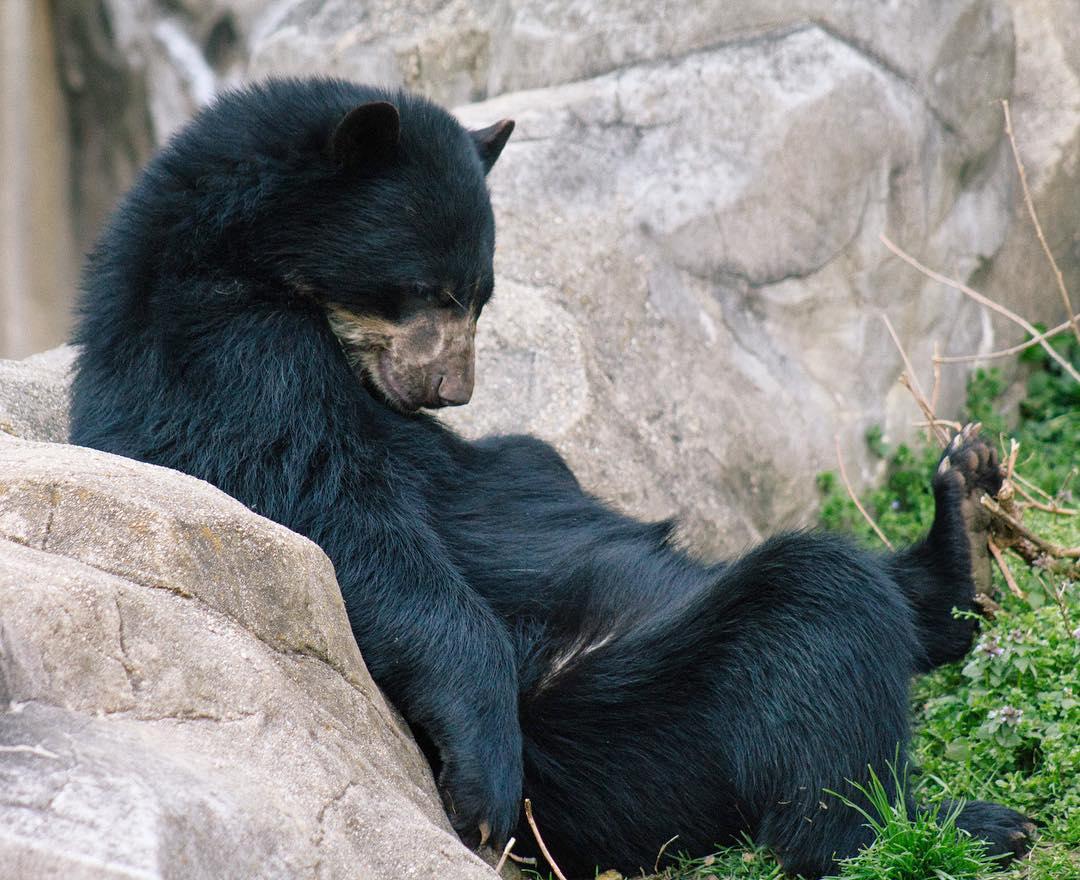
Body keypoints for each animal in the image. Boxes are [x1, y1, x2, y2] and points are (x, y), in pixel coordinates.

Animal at [69, 78, 1033, 878]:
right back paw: (945, 823)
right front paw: (482, 783)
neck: (240, 266)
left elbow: (510, 467)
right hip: (631, 731)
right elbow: (342, 520)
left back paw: (963, 526)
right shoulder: (231, 363)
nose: (454, 389)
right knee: (816, 620)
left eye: (481, 294)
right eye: (428, 289)